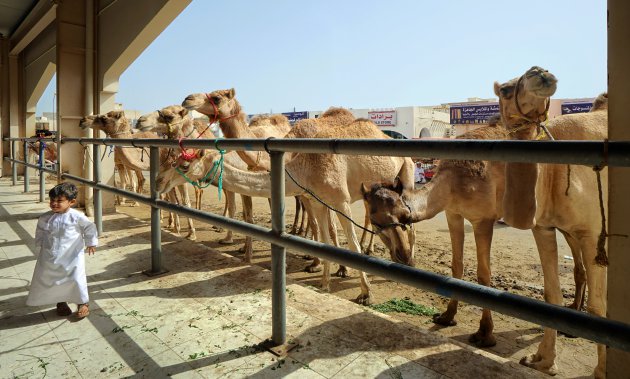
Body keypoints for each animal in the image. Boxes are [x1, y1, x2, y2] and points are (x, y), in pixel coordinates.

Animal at [79, 110, 199, 240]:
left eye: (105, 117)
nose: (83, 120)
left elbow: (185, 201)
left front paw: (191, 234)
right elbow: (171, 199)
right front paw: (176, 228)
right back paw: (170, 223)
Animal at [157, 116, 414, 306]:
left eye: (184, 165)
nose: (159, 181)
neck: (306, 168)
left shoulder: (341, 200)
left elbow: (351, 245)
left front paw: (365, 294)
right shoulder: (317, 200)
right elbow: (324, 240)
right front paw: (324, 284)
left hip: (407, 174)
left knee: (409, 218)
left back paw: (407, 259)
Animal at [496, 65, 608, 378]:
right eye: (505, 90)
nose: (540, 72)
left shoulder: (594, 233)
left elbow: (599, 307)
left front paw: (602, 371)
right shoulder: (544, 227)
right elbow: (550, 295)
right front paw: (542, 360)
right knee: (579, 271)